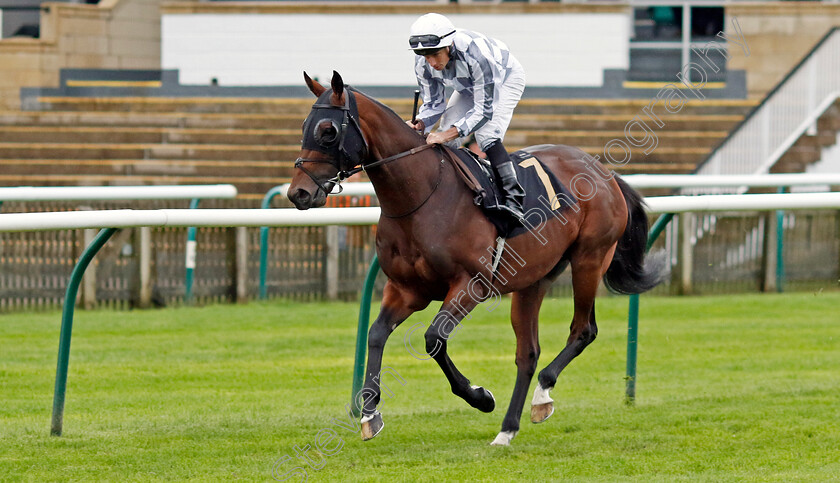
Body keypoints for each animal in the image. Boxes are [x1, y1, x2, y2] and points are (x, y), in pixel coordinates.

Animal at [286, 71, 668, 446]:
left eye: (328, 131)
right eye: (305, 125)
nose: (298, 193)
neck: (422, 196)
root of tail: (606, 173)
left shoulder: (471, 285)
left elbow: (433, 339)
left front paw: (480, 396)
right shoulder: (405, 289)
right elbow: (376, 334)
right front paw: (369, 414)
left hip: (589, 259)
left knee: (583, 330)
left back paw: (542, 395)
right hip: (534, 280)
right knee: (528, 353)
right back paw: (508, 428)